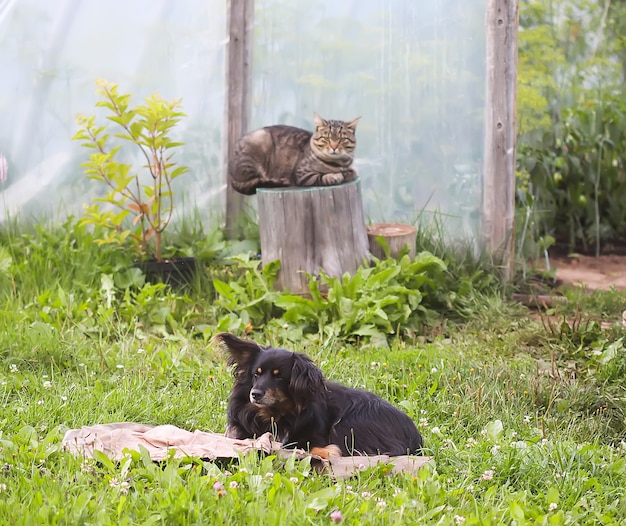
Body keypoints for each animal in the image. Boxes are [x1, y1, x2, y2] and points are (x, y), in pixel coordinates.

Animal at [212, 336, 422, 460]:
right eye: (257, 373)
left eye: (279, 376)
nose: (255, 394)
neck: (275, 414)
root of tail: (415, 437)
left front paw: (327, 451)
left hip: (349, 422)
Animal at [228, 113, 356, 196]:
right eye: (326, 138)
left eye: (342, 139)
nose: (334, 147)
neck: (337, 163)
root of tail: (230, 175)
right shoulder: (302, 175)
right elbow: (322, 177)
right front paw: (335, 176)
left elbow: (351, 172)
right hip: (259, 143)